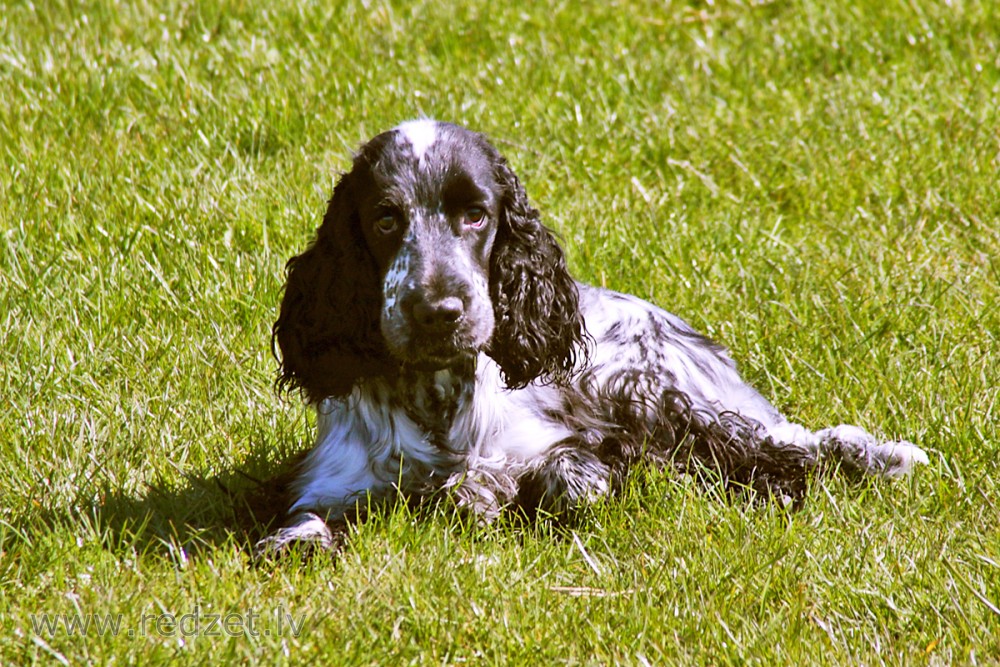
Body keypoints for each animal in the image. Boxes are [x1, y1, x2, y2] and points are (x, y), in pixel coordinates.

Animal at [254, 121, 924, 560]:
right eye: (386, 218)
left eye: (476, 214)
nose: (439, 312)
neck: (436, 397)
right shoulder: (333, 479)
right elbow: (305, 522)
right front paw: (293, 542)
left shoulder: (569, 441)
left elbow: (560, 476)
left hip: (653, 389)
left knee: (786, 441)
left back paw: (876, 458)